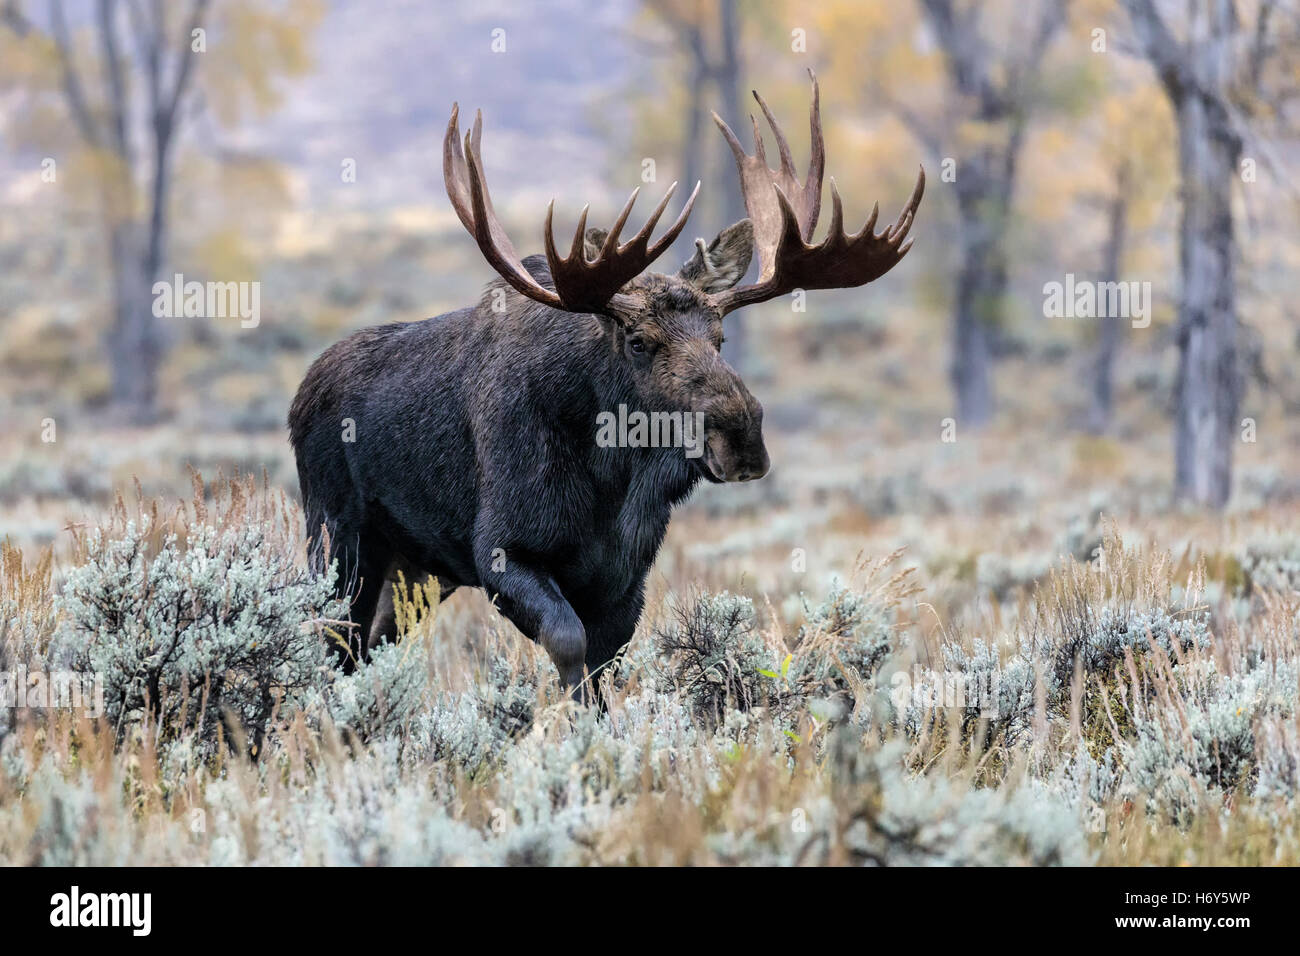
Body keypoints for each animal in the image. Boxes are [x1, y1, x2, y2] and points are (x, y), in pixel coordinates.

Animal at [292, 69, 925, 697]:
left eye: (720, 337)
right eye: (638, 341)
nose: (742, 438)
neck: (609, 480)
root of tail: (300, 396)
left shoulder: (625, 577)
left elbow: (604, 670)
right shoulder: (501, 549)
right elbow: (569, 648)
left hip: (418, 570)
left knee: (365, 646)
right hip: (338, 538)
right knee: (333, 642)